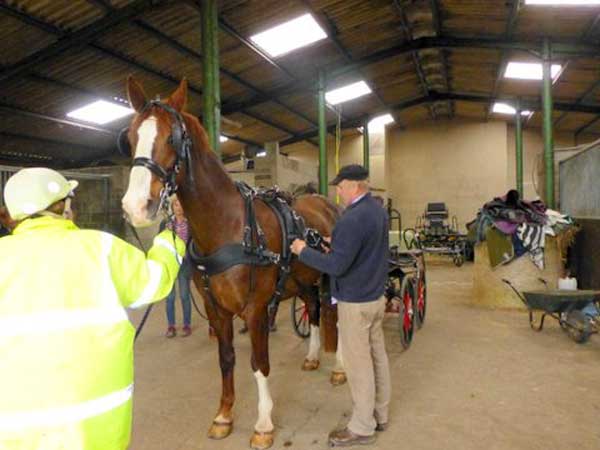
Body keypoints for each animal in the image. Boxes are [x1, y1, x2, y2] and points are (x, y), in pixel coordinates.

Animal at [119, 77, 342, 450]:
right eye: (131, 138)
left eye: (171, 138)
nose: (136, 206)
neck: (228, 225)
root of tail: (328, 204)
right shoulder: (216, 308)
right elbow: (226, 359)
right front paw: (224, 416)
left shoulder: (255, 309)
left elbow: (259, 362)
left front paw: (264, 424)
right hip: (301, 279)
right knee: (312, 307)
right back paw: (312, 357)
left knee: (334, 316)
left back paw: (339, 368)